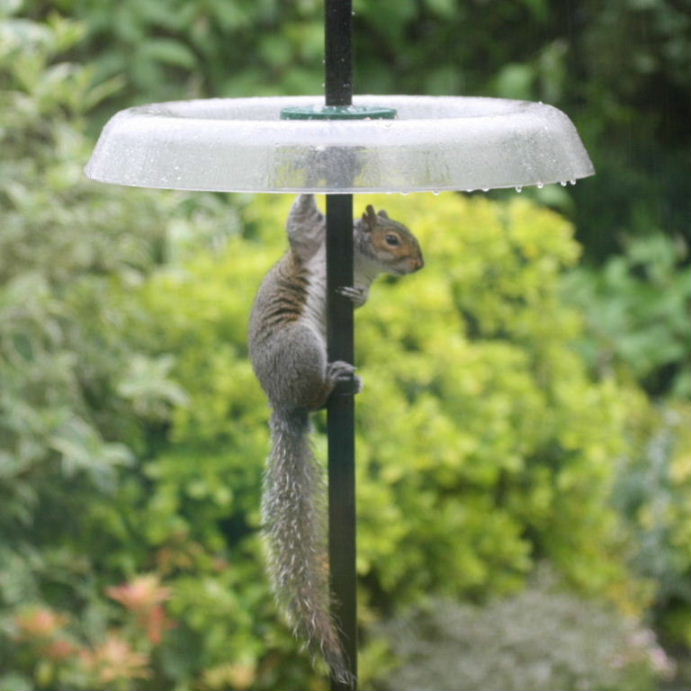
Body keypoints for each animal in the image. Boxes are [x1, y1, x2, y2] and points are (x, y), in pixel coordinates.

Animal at [248, 194, 423, 684]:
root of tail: (282, 402)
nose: (419, 263)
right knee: (316, 393)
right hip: (301, 344)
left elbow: (359, 301)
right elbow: (301, 223)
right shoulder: (310, 246)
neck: (361, 264)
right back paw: (335, 378)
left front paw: (361, 296)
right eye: (392, 238)